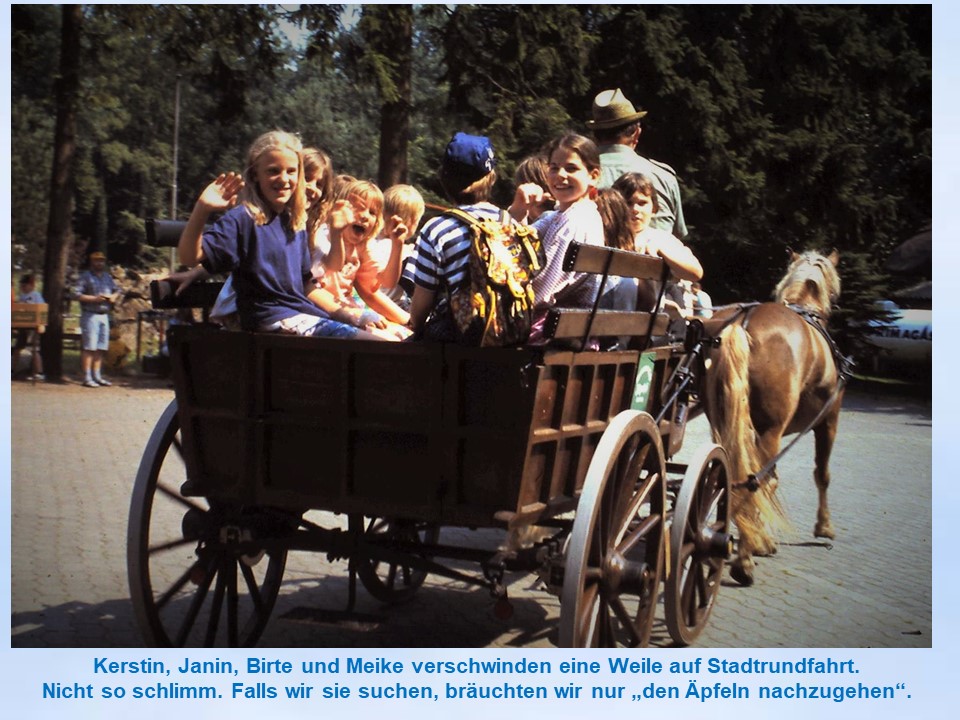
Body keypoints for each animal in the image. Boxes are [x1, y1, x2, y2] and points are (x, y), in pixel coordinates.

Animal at [700, 249, 844, 584]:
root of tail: (742, 324)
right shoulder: (828, 421)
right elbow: (822, 474)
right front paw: (824, 526)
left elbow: (773, 482)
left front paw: (761, 539)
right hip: (770, 431)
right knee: (752, 479)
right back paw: (743, 563)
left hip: (724, 423)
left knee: (731, 476)